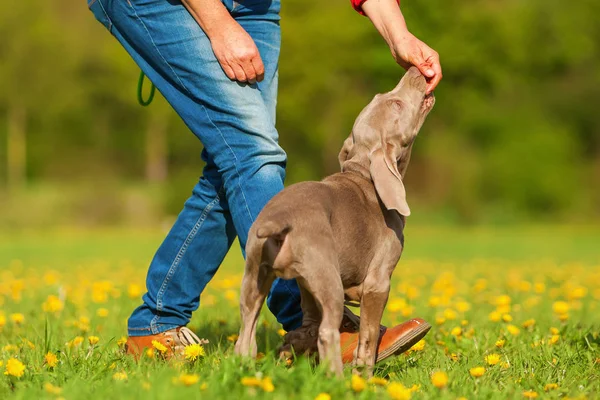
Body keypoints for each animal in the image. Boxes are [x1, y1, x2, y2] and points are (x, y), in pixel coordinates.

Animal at [232, 67, 434, 376]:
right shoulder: (378, 281)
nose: (415, 70)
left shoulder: (306, 287)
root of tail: (278, 220)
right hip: (328, 277)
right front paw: (365, 374)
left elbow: (310, 323)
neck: (364, 174)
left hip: (256, 276)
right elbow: (368, 336)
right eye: (396, 104)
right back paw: (337, 378)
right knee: (328, 333)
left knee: (247, 332)